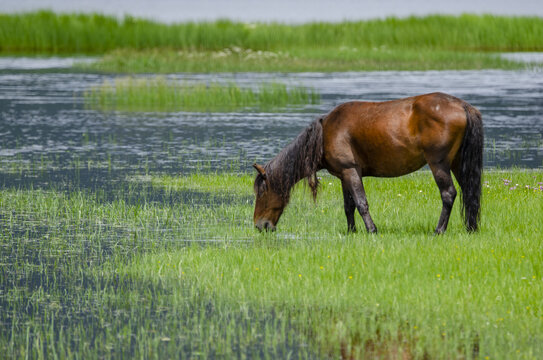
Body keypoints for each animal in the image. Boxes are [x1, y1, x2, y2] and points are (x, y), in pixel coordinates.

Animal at [253, 91, 482, 235]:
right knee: (469, 192)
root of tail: (463, 106)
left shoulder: (351, 171)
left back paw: (439, 230)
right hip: (458, 164)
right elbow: (349, 206)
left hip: (439, 164)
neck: (326, 132)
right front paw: (351, 231)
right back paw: (470, 228)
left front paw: (372, 230)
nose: (259, 225)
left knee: (448, 194)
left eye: (261, 192)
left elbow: (361, 203)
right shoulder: (344, 176)